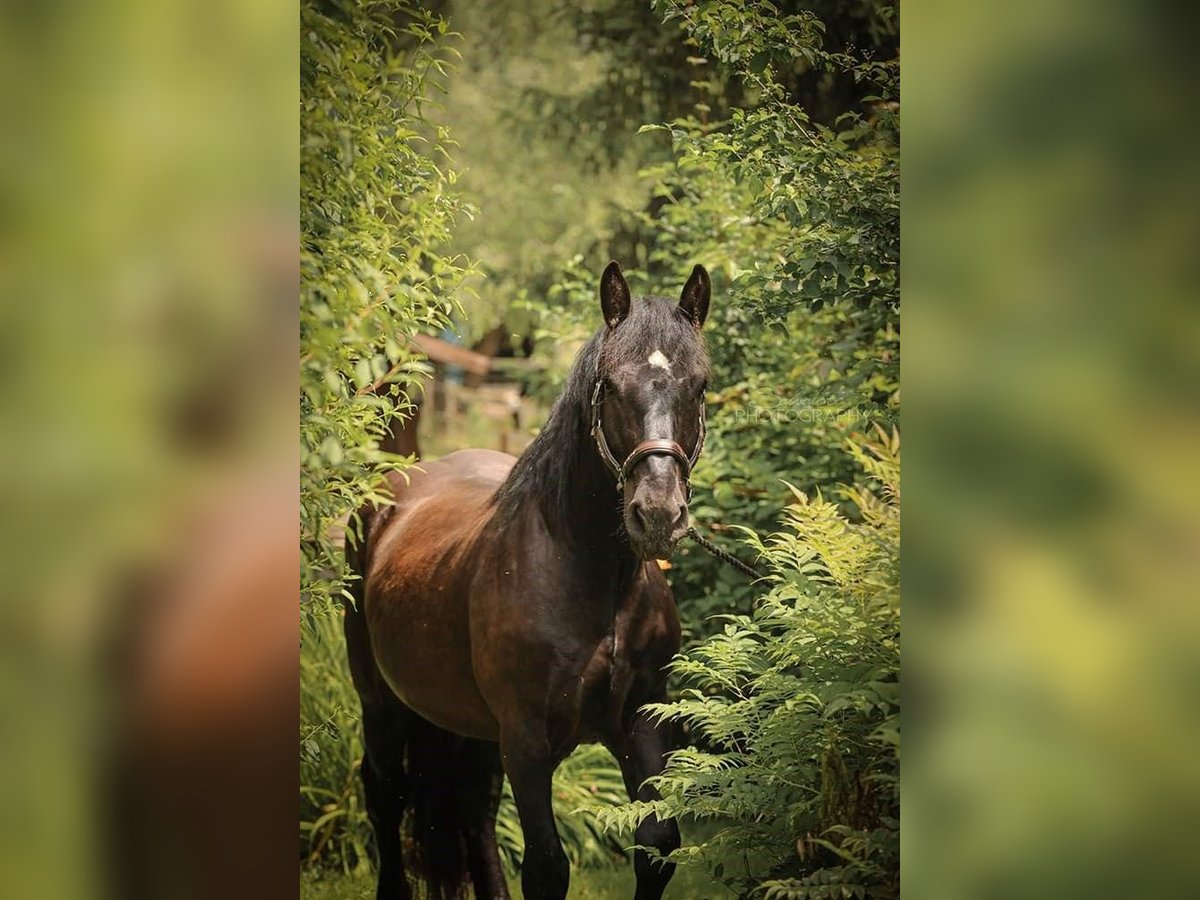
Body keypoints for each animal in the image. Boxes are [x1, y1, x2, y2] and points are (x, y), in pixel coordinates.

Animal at [343, 260, 705, 900]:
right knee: (385, 793)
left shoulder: (641, 721)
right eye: (610, 385)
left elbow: (657, 844)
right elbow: (545, 867)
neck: (593, 580)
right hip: (380, 700)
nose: (658, 514)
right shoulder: (528, 740)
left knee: (475, 810)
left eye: (701, 385)